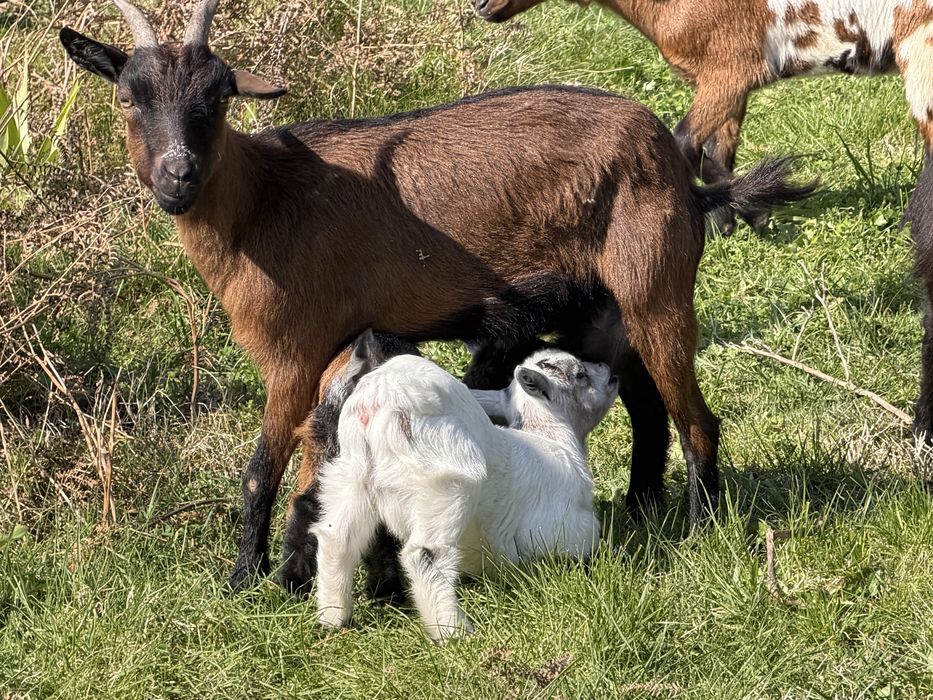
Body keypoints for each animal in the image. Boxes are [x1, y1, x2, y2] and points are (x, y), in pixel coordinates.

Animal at [60, 0, 814, 591]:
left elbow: (261, 468)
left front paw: (244, 579)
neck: (264, 204)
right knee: (649, 406)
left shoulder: (293, 351)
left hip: (656, 287)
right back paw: (642, 508)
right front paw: (299, 566)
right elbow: (312, 458)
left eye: (217, 98)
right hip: (603, 311)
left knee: (697, 420)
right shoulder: (335, 353)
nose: (177, 176)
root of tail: (682, 175)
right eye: (127, 97)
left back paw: (699, 529)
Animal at [314, 345, 618, 641]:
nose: (609, 369)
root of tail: (382, 394)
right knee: (424, 553)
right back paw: (452, 631)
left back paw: (334, 618)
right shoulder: (568, 530)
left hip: (351, 473)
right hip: (447, 478)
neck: (554, 439)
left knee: (336, 538)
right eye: (580, 374)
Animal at [476, 0, 933, 439]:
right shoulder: (729, 84)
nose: (481, 7)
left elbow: (685, 144)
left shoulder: (729, 70)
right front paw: (739, 216)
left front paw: (743, 211)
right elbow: (716, 152)